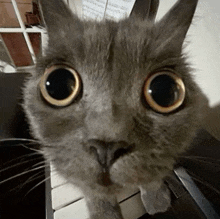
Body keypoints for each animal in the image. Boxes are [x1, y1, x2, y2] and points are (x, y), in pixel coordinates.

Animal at [22, 0, 208, 218]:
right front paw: (105, 213)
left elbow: (153, 173)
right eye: (57, 84)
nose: (107, 147)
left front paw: (157, 199)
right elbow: (94, 192)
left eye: (164, 91)